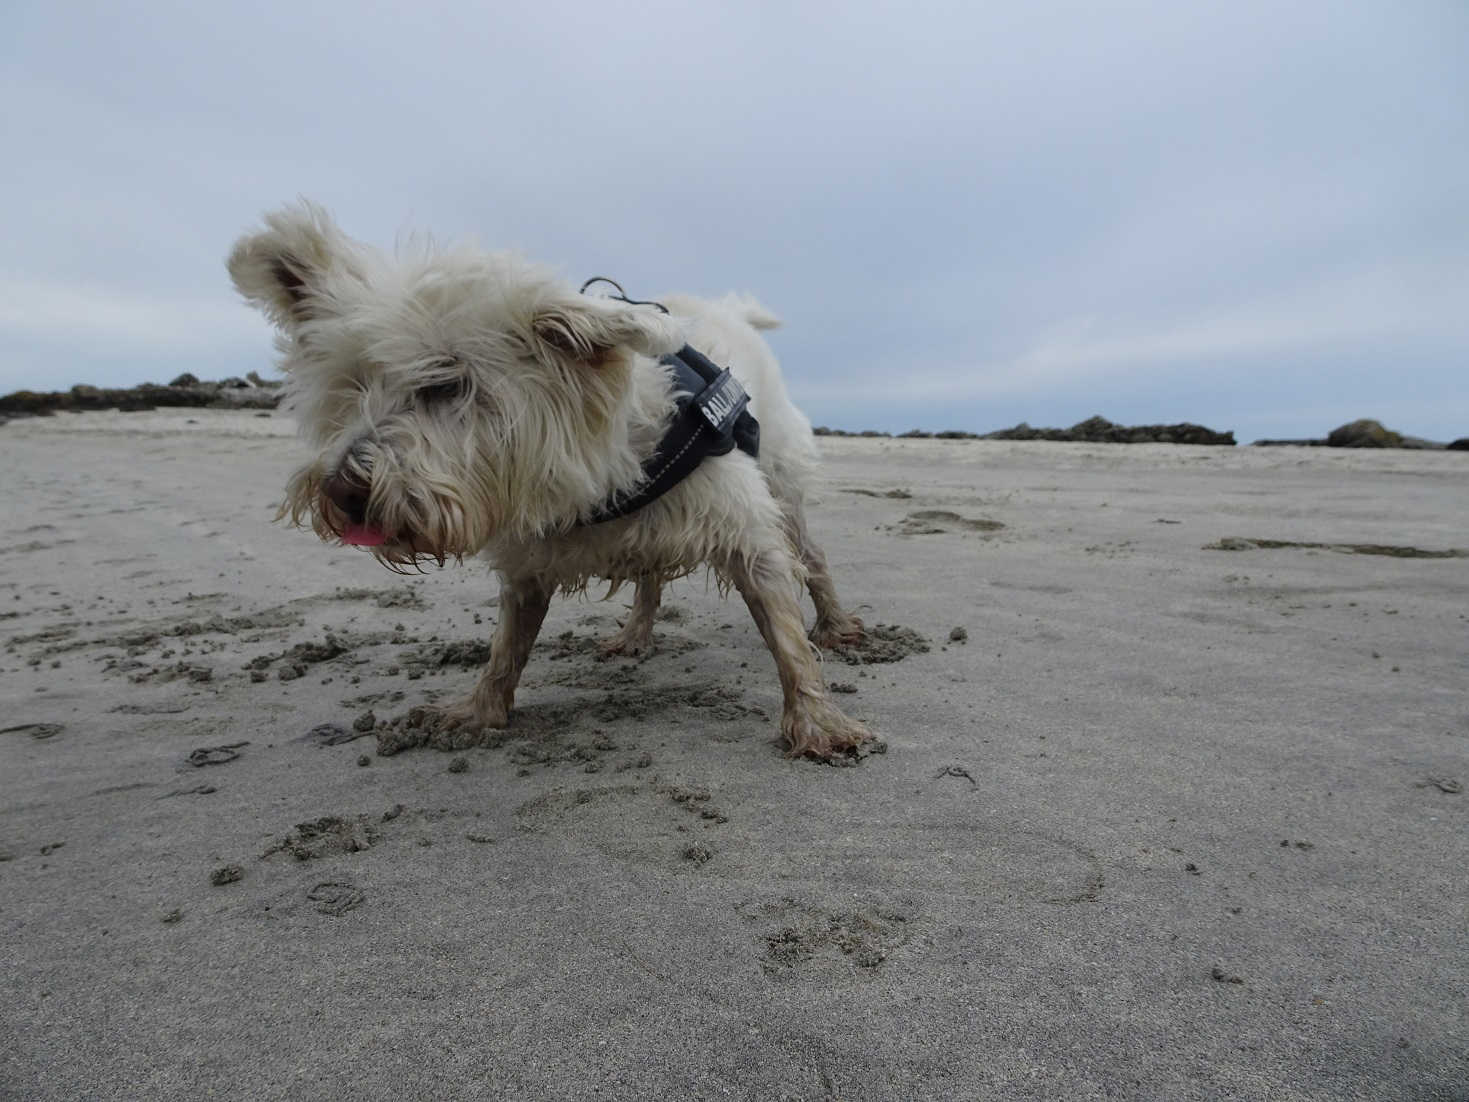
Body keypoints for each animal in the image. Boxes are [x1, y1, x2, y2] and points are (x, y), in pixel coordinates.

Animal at [226, 202, 869, 764]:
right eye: (351, 384)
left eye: (445, 384)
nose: (344, 492)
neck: (603, 478)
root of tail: (731, 312)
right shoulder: (527, 566)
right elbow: (506, 647)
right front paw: (479, 711)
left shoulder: (744, 530)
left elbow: (786, 635)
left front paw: (819, 721)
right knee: (651, 578)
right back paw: (635, 634)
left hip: (781, 477)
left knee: (811, 556)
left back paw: (836, 625)